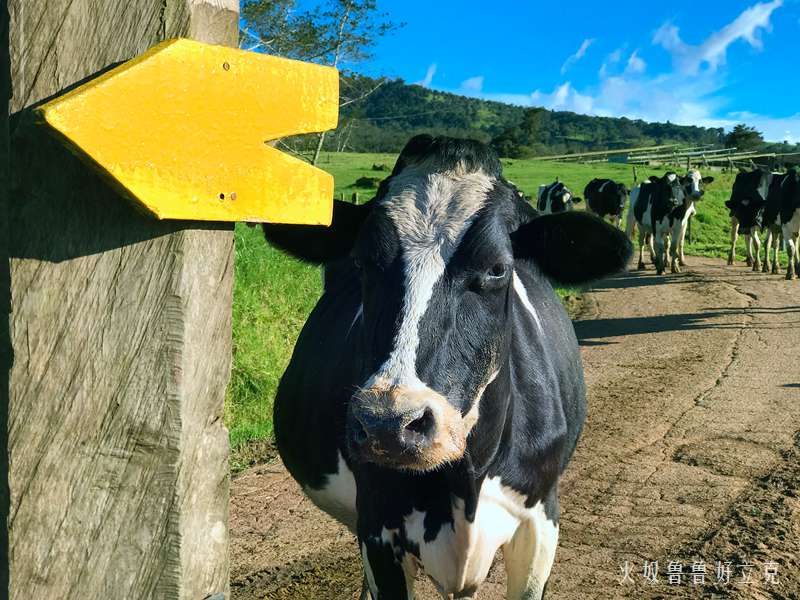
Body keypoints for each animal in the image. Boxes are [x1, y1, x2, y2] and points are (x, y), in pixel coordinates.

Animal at [260, 136, 632, 600]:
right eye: (362, 262)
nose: (388, 425)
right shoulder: (378, 527)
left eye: (497, 268)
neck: (465, 479)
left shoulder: (540, 523)